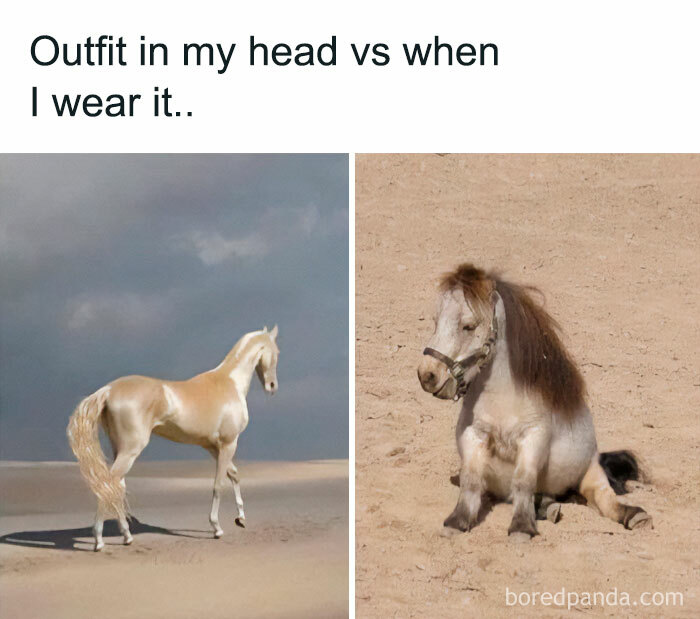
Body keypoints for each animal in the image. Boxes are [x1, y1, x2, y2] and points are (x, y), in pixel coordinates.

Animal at [67, 325, 279, 551]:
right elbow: (219, 485)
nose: (272, 386)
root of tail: (108, 390)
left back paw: (127, 536)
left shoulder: (213, 447)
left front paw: (241, 518)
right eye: (276, 352)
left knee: (117, 487)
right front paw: (217, 528)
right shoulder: (229, 443)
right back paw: (99, 541)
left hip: (120, 450)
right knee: (108, 485)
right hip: (130, 451)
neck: (229, 383)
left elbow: (234, 475)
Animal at [417, 264, 652, 540]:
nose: (427, 375)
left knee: (603, 497)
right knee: (544, 498)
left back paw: (634, 515)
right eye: (436, 322)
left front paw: (521, 527)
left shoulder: (534, 437)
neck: (503, 399)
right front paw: (457, 521)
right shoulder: (473, 434)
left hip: (591, 472)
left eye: (468, 326)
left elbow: (523, 480)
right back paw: (549, 508)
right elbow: (471, 480)